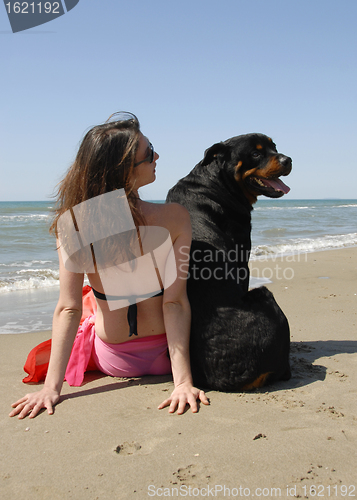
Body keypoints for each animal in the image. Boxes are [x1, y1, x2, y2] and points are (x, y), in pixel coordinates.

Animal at [165, 135, 290, 392]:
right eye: (256, 153)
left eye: (274, 147)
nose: (288, 159)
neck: (217, 184)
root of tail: (228, 380)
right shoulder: (242, 261)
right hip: (265, 295)